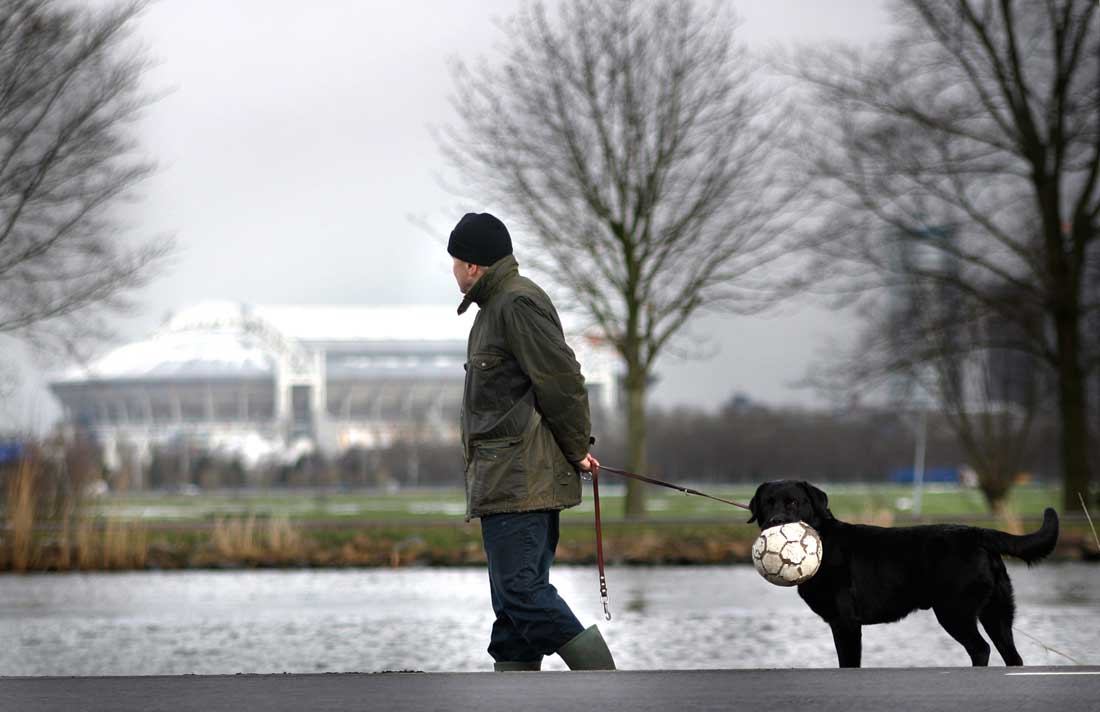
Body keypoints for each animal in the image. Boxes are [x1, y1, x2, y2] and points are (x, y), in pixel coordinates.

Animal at [748, 479, 1056, 669]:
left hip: (955, 611)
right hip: (997, 613)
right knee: (1012, 655)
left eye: (793, 502)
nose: (775, 522)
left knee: (980, 649)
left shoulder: (846, 623)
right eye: (767, 503)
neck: (823, 540)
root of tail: (979, 533)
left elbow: (848, 663)